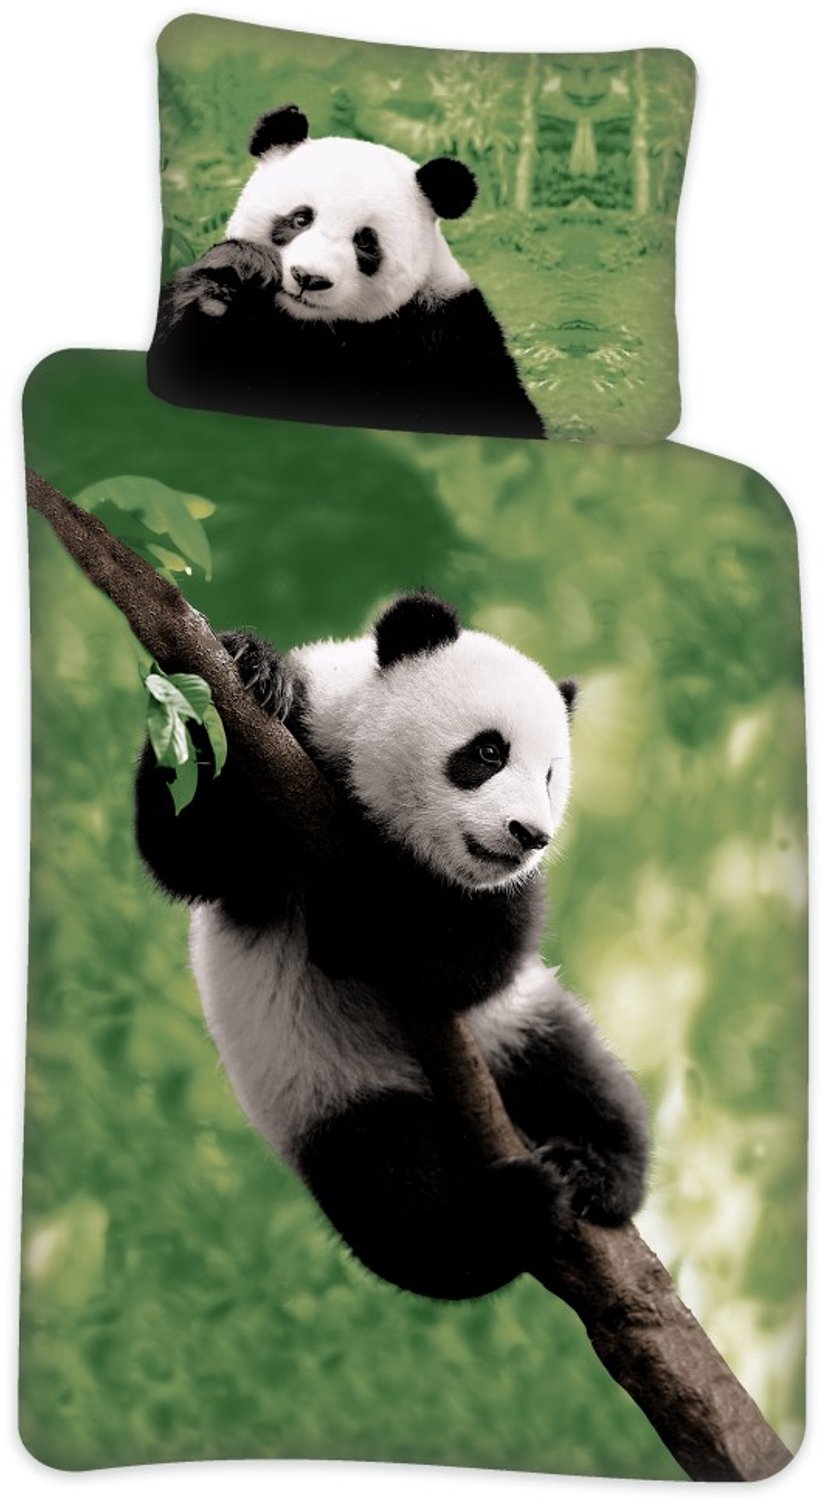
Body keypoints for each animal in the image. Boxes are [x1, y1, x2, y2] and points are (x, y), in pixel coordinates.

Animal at [135, 592, 648, 1300]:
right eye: (488, 751)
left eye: (550, 776)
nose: (528, 836)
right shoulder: (288, 774)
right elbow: (187, 848)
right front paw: (253, 666)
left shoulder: (493, 901)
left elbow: (475, 959)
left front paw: (359, 919)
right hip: (328, 1091)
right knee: (395, 1189)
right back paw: (506, 1210)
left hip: (512, 1031)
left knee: (577, 1072)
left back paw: (590, 1170)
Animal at [147, 105, 546, 440]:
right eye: (301, 218)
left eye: (365, 241)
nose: (309, 278)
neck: (312, 327)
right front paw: (234, 278)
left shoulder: (449, 337)